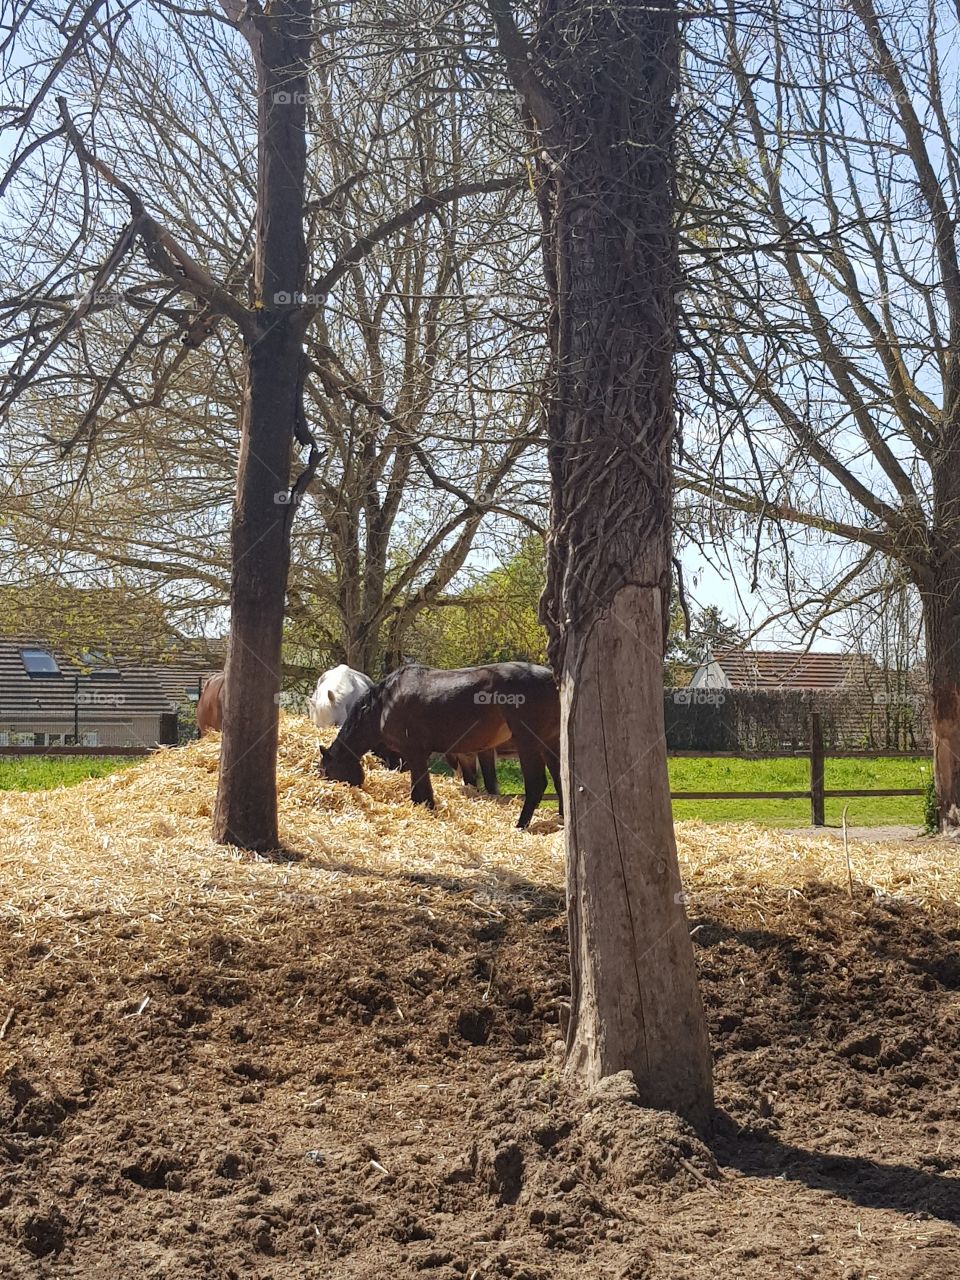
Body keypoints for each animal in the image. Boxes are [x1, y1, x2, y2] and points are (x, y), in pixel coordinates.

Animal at [318, 662, 561, 829]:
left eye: (327, 772)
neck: (384, 704)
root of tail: (552, 680)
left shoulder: (414, 754)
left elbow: (422, 793)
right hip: (550, 744)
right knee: (560, 782)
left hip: (528, 745)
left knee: (536, 785)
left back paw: (520, 825)